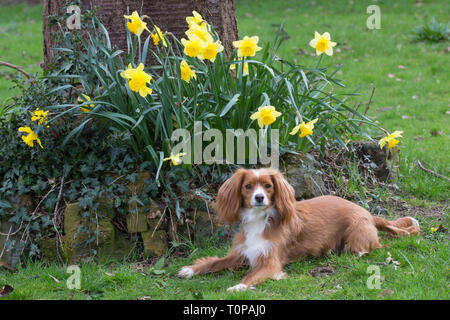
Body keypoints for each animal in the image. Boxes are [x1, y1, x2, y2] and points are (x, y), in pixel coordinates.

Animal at [176, 169, 418, 292]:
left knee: (374, 247)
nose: (259, 197)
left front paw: (238, 286)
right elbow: (214, 262)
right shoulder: (242, 253)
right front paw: (191, 269)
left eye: (268, 186)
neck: (260, 220)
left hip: (356, 241)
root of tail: (367, 212)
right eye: (248, 186)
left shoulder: (270, 264)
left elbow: (252, 276)